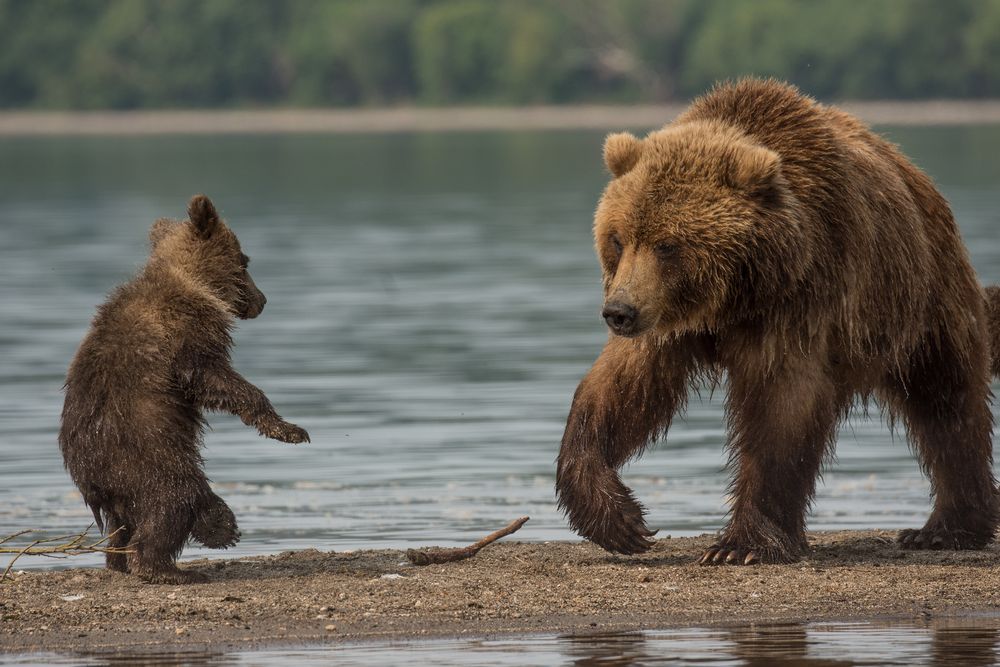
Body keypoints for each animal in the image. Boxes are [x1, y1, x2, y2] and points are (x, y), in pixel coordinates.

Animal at [556, 79, 1000, 568]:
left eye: (668, 245)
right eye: (618, 238)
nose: (619, 311)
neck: (732, 298)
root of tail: (917, 176)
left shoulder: (799, 302)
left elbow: (782, 409)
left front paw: (741, 545)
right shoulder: (666, 325)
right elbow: (620, 388)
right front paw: (618, 519)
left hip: (922, 300)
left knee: (946, 404)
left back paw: (945, 528)